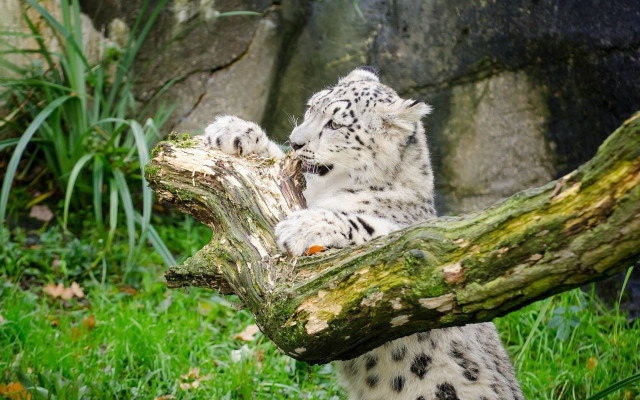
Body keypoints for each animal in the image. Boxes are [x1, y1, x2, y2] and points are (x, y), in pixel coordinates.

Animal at [203, 67, 524, 400]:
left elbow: (367, 229)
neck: (330, 189)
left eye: (334, 124)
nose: (295, 142)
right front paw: (233, 130)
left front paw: (302, 226)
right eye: (311, 108)